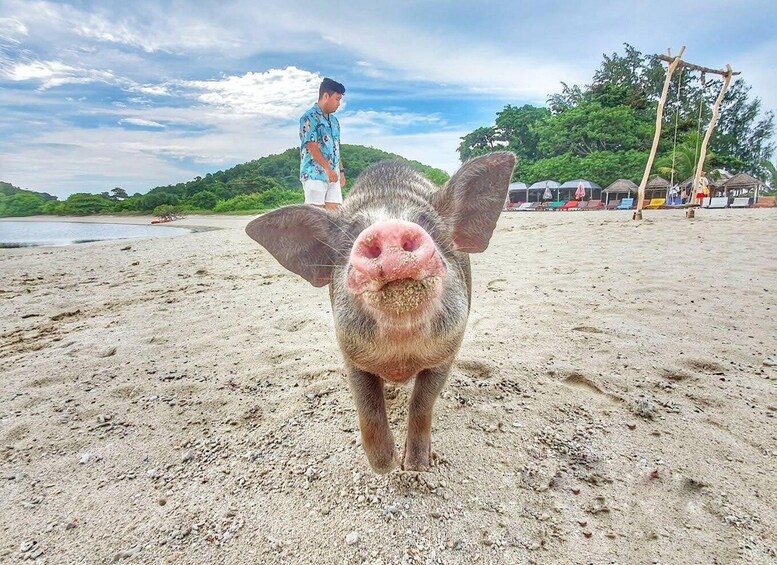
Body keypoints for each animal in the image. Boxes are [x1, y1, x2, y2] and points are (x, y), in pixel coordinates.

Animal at [245, 151, 515, 474]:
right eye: (350, 236)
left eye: (428, 224)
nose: (390, 230)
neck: (400, 354)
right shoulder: (351, 354)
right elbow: (368, 407)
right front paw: (386, 467)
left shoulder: (446, 353)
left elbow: (422, 403)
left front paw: (416, 466)